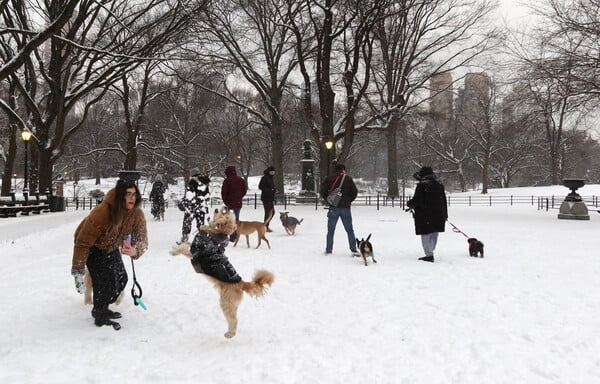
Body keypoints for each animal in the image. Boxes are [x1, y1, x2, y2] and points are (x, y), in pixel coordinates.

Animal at [170, 207, 276, 340]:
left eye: (224, 214)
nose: (222, 207)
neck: (212, 235)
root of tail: (242, 283)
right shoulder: (193, 246)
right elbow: (185, 244)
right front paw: (175, 247)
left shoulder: (194, 254)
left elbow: (182, 249)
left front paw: (173, 252)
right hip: (232, 304)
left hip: (226, 303)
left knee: (233, 320)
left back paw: (229, 334)